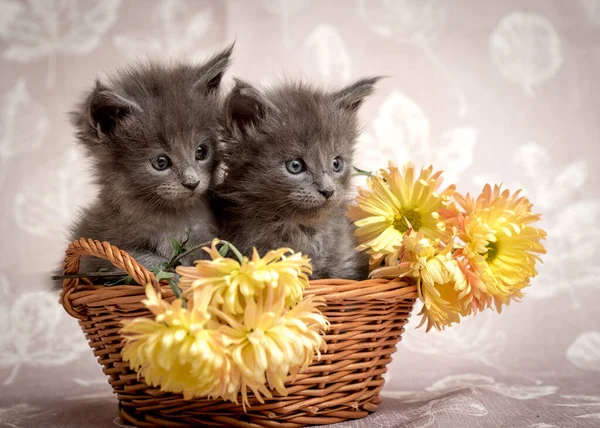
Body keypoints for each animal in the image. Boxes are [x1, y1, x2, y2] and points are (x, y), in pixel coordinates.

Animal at [66, 45, 232, 276]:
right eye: (161, 163)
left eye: (201, 151)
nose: (192, 182)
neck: (176, 218)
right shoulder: (100, 250)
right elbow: (137, 259)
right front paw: (170, 270)